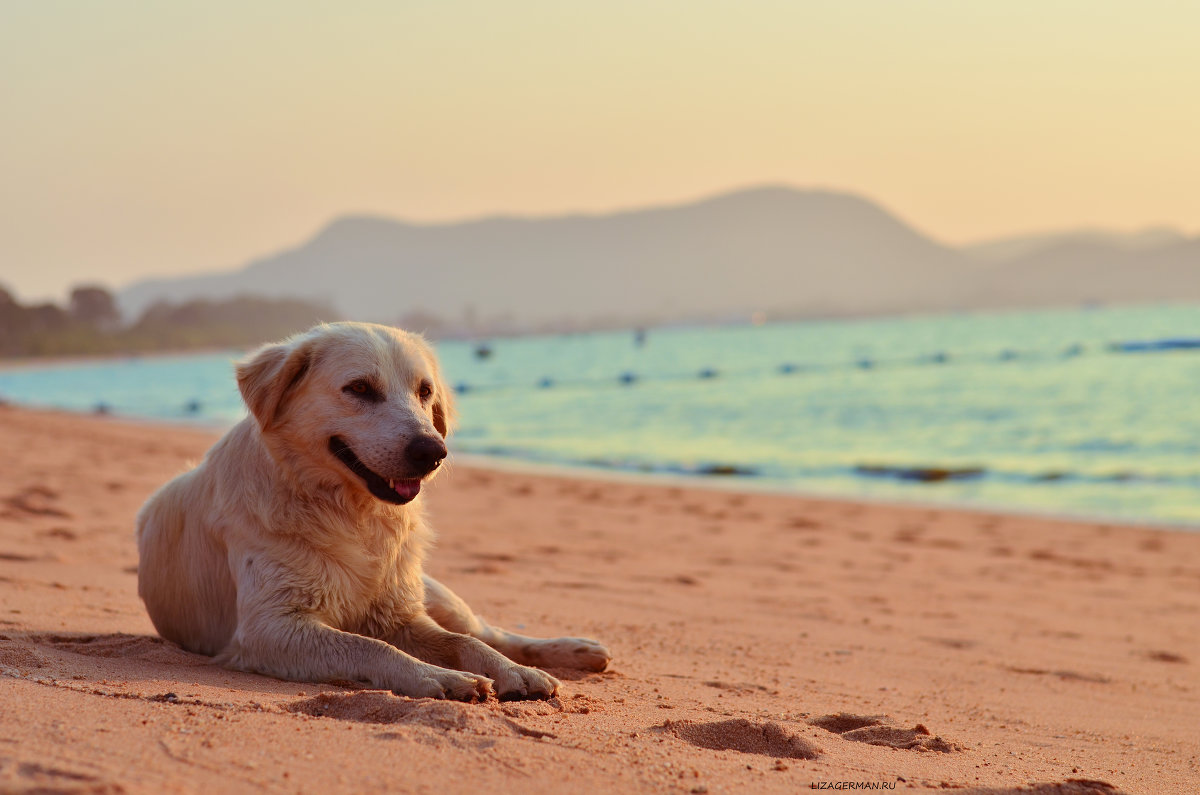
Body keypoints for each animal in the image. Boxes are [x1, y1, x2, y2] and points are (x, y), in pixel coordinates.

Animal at [135, 321, 609, 701]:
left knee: (485, 631)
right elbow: (372, 646)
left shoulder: (399, 613)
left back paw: (568, 652)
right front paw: (439, 677)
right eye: (360, 388)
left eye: (425, 391)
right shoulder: (269, 627)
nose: (433, 452)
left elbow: (464, 644)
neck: (353, 513)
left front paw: (512, 673)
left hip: (429, 590)